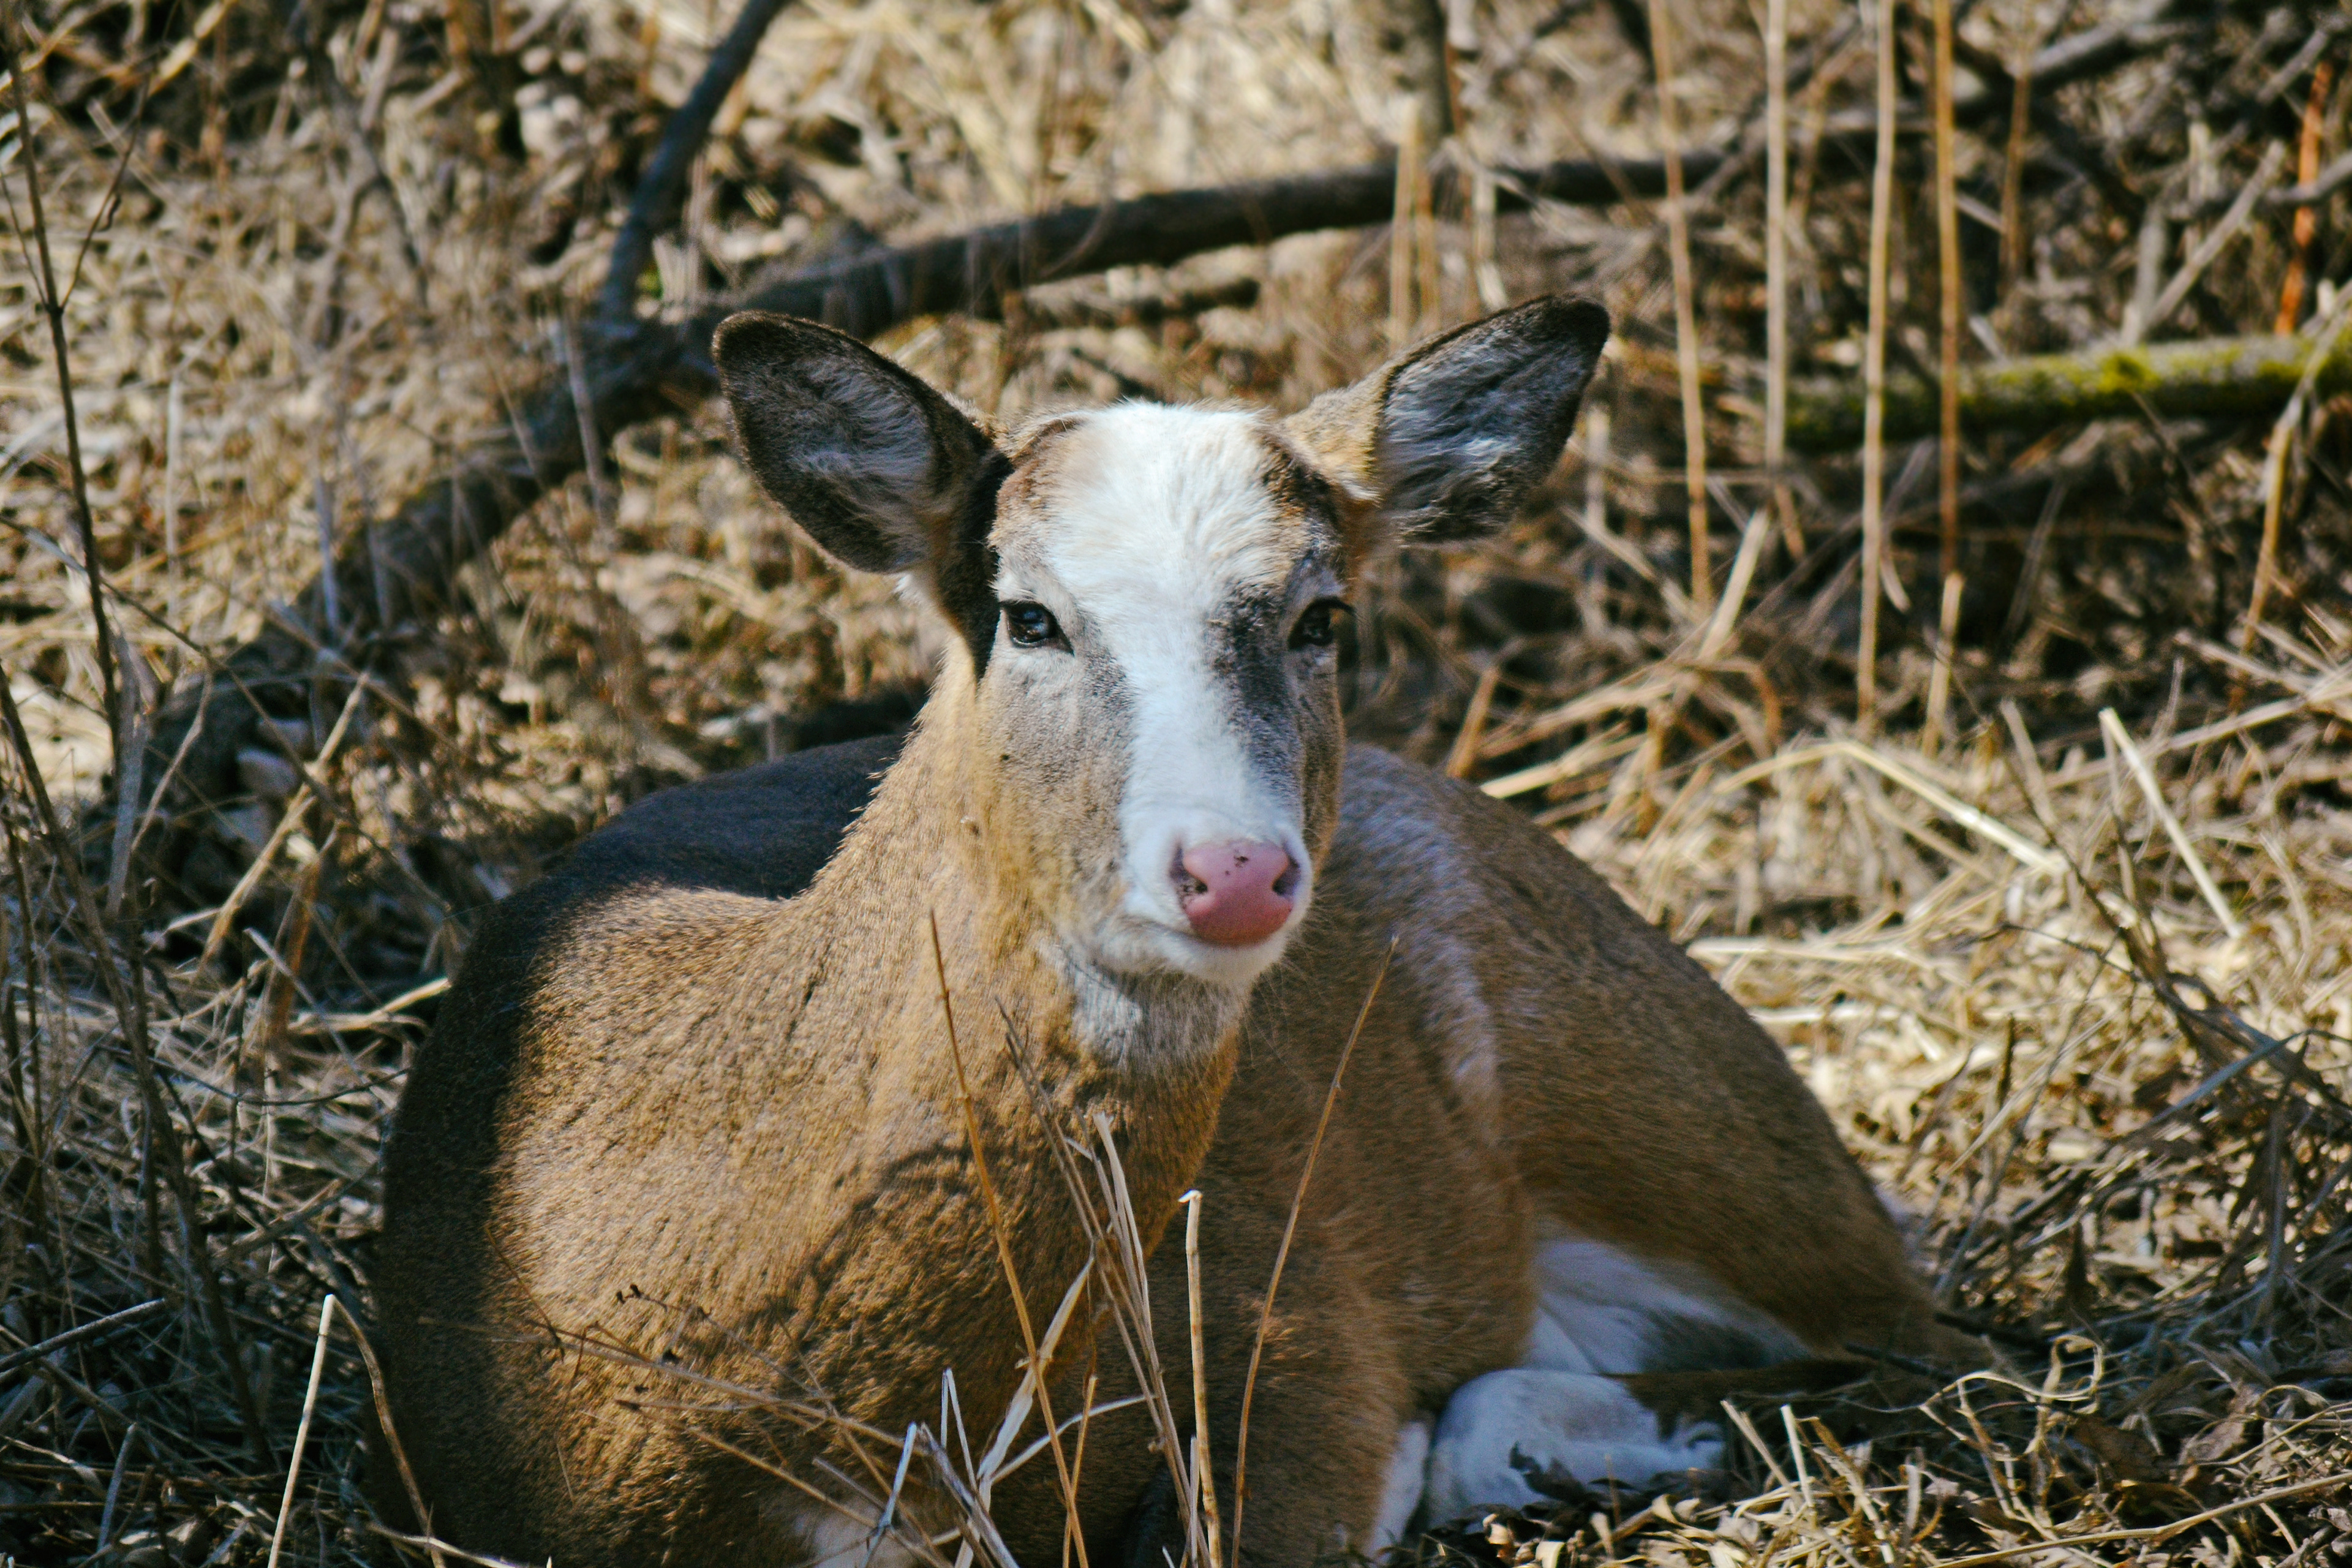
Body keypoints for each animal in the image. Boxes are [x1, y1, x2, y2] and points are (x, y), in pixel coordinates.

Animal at [372, 294, 1979, 1568]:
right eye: (1028, 614)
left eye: (1321, 614)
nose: (1234, 871)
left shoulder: (1291, 1327)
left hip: (1687, 1107)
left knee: (1922, 1331)